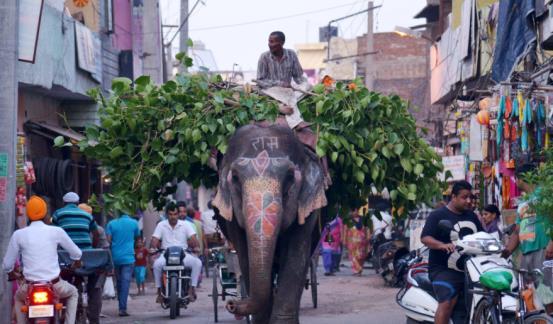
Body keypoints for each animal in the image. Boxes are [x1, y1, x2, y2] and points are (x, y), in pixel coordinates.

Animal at [211, 123, 326, 322]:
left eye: (290, 177)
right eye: (235, 178)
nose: (232, 305)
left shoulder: (307, 211)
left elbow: (296, 256)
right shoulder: (232, 217)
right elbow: (244, 258)